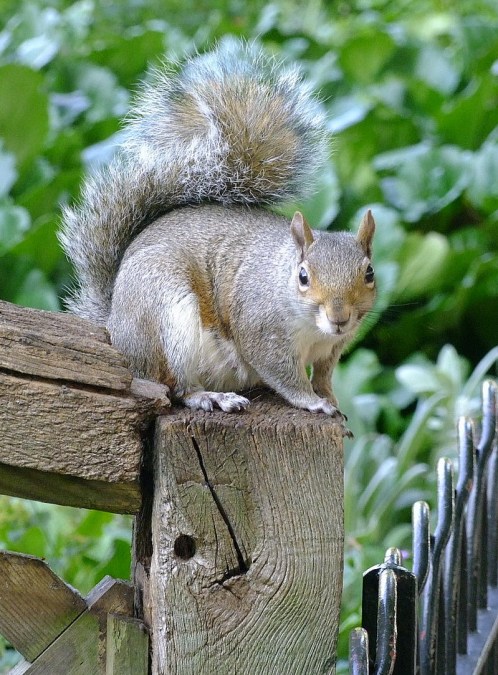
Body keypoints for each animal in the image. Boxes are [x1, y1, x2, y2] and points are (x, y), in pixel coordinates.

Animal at [59, 40, 376, 418]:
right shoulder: (262, 331)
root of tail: (115, 328)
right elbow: (286, 377)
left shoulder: (334, 347)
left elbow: (324, 374)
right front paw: (313, 402)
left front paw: (329, 397)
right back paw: (212, 396)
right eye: (303, 276)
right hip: (167, 313)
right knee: (176, 386)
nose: (339, 316)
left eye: (369, 273)